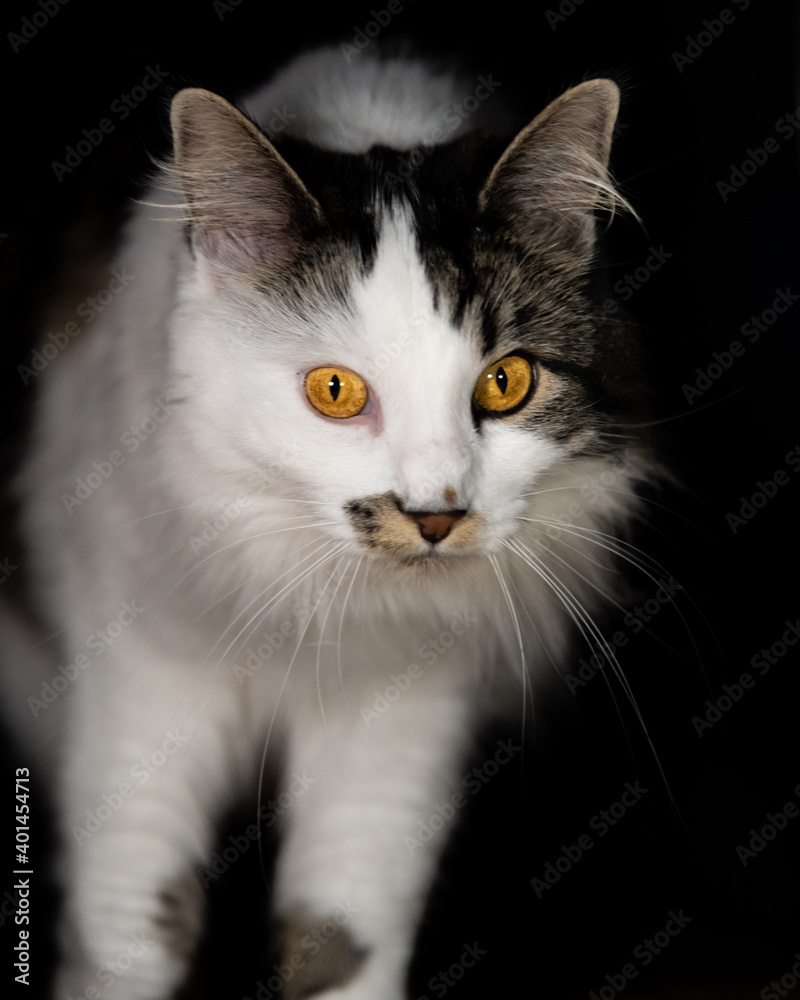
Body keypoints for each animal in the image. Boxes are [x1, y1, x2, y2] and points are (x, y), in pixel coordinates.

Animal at [3, 43, 660, 996]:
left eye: (506, 383)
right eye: (336, 391)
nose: (435, 514)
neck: (316, 607)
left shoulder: (400, 718)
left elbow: (341, 940)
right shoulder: (142, 685)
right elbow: (133, 934)